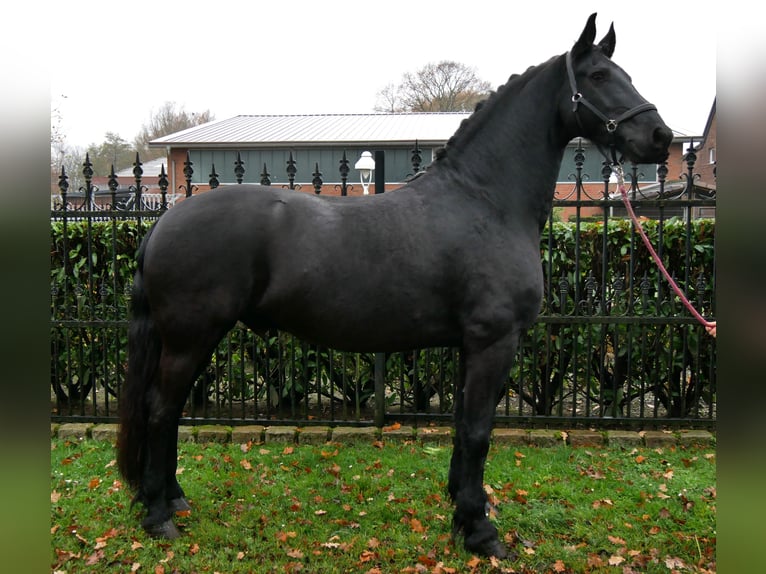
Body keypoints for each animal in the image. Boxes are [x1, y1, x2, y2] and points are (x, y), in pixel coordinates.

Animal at [117, 13, 672, 559]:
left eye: (626, 73)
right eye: (599, 76)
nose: (660, 136)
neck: (485, 200)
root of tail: (162, 223)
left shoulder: (471, 346)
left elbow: (462, 428)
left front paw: (462, 512)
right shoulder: (494, 342)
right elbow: (478, 432)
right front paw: (481, 533)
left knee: (168, 411)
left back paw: (173, 498)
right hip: (191, 338)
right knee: (161, 410)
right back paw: (159, 516)